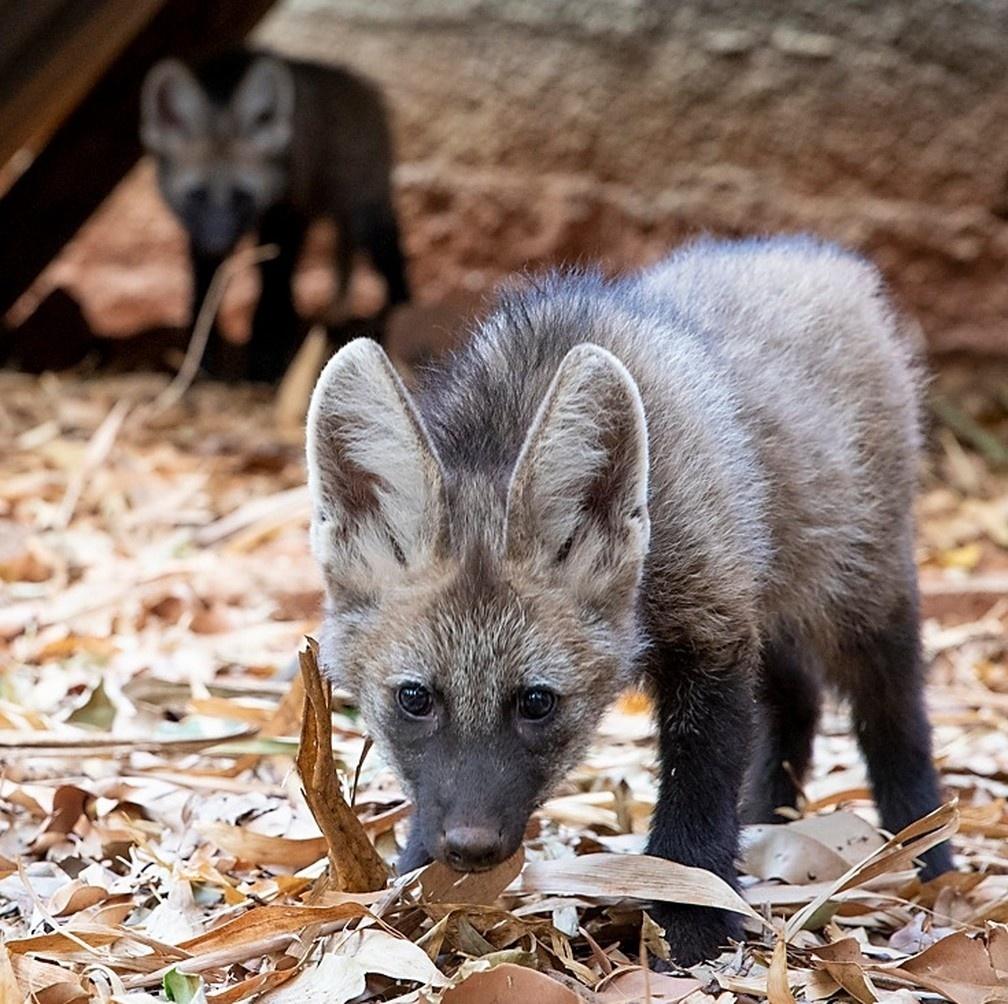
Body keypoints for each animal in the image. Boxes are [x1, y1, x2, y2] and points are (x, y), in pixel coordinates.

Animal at [142, 49, 409, 383]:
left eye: (241, 196)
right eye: (197, 195)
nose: (218, 244)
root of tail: (358, 82)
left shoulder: (284, 214)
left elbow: (272, 288)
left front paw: (265, 355)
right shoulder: (199, 236)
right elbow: (204, 293)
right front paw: (202, 360)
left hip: (363, 211)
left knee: (390, 255)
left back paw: (404, 314)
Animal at [302, 236, 947, 963]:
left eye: (537, 702)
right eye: (415, 698)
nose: (471, 849)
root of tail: (818, 252)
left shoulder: (712, 629)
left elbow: (698, 788)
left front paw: (693, 918)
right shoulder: (731, 612)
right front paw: (415, 880)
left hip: (860, 592)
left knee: (893, 713)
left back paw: (926, 851)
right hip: (771, 592)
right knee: (798, 700)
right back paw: (767, 823)